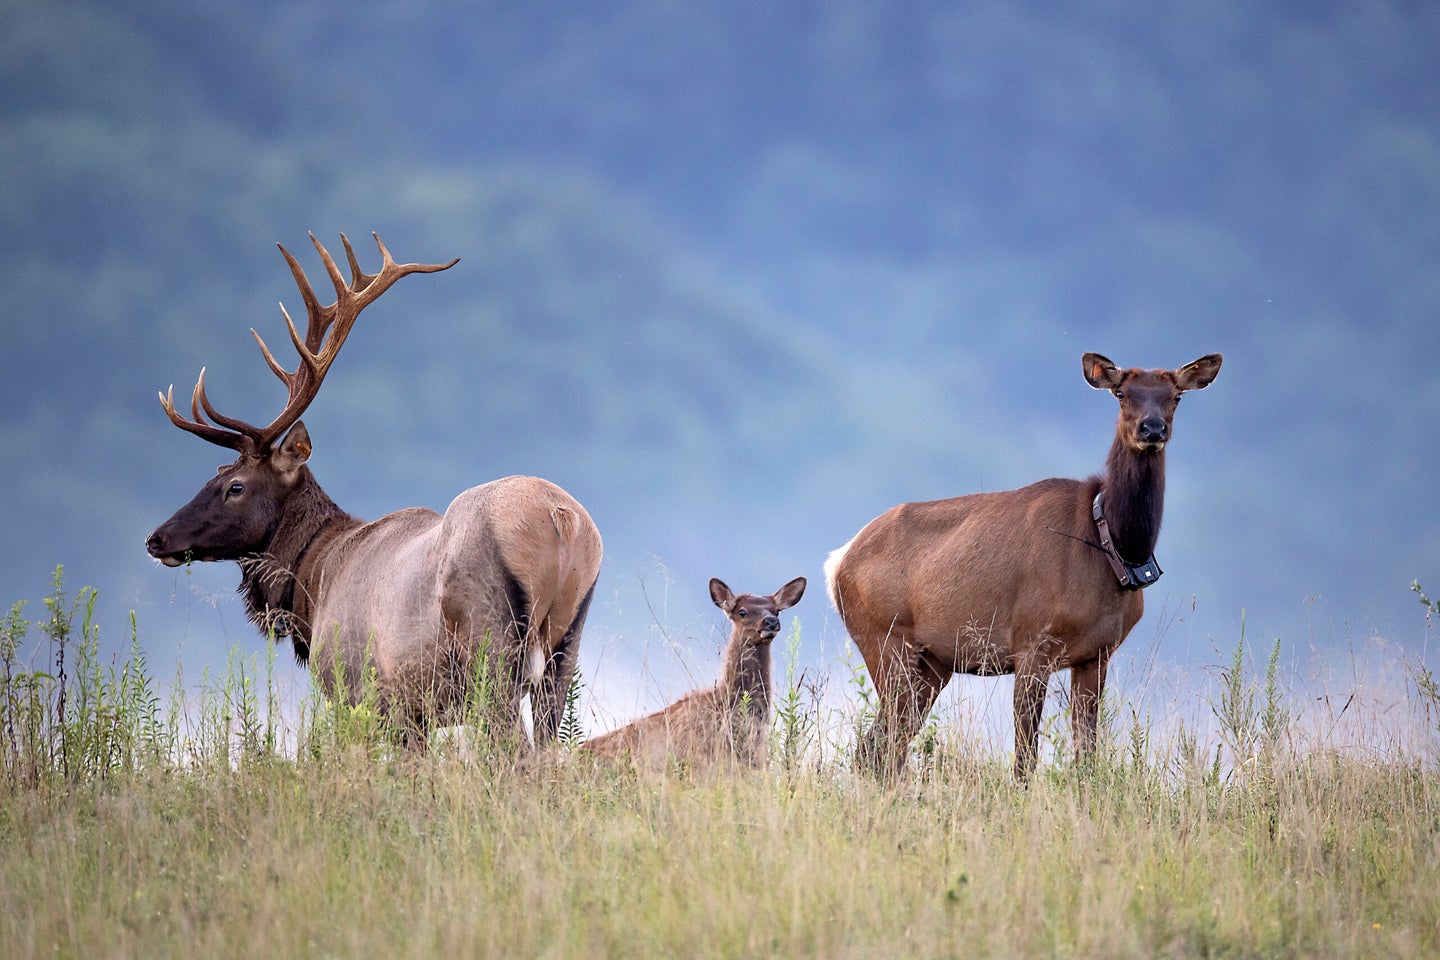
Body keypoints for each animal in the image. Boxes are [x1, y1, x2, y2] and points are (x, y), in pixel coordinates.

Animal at [141, 234, 601, 748]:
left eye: (234, 485)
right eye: (215, 473)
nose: (157, 538)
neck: (314, 585)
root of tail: (562, 520)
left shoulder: (372, 695)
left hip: (491, 652)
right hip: (565, 646)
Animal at [829, 352, 1221, 782]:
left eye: (1176, 396)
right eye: (1121, 393)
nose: (1152, 428)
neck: (1112, 550)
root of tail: (837, 562)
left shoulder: (1097, 654)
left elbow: (1087, 754)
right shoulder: (1033, 642)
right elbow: (1024, 758)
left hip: (933, 661)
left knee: (881, 744)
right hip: (884, 639)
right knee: (883, 744)